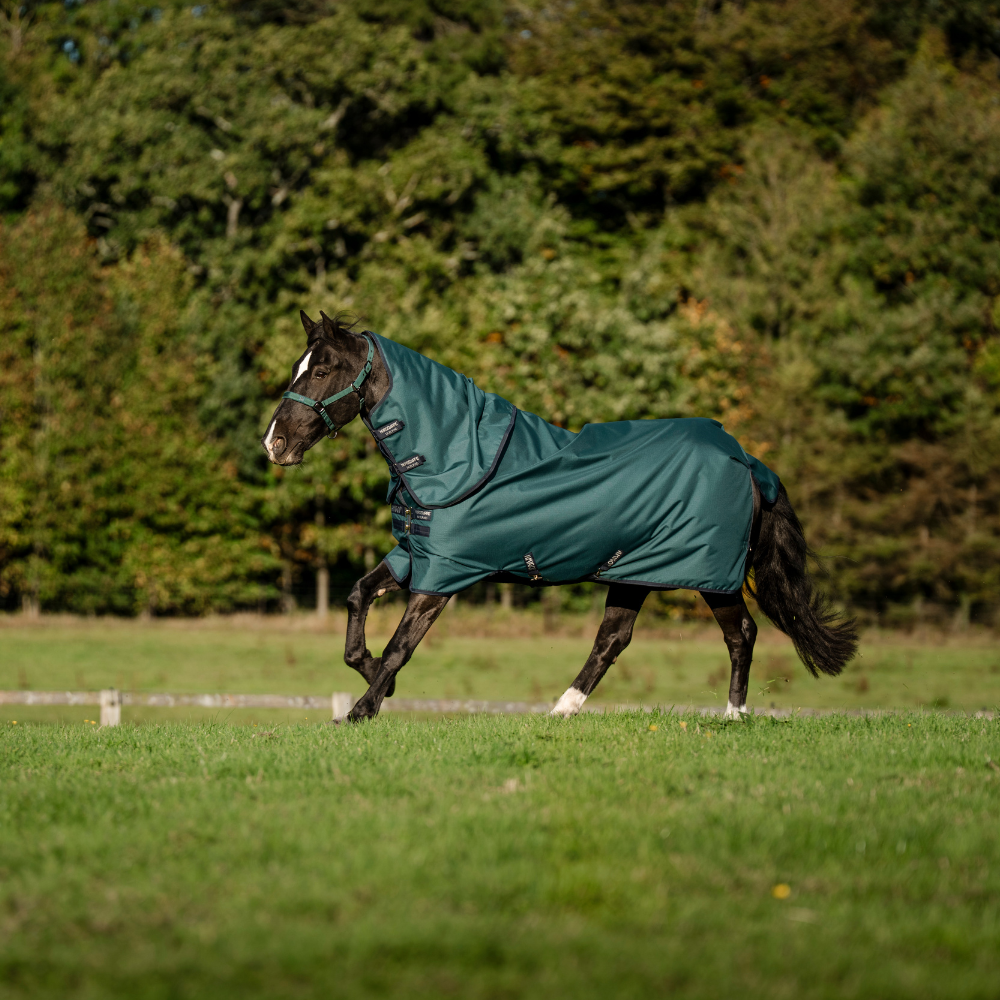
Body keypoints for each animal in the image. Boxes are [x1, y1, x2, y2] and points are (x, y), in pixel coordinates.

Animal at [262, 311, 858, 722]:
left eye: (322, 369)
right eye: (299, 368)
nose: (275, 443)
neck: (454, 455)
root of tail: (747, 460)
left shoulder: (443, 575)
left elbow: (399, 647)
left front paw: (362, 709)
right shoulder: (415, 555)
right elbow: (357, 599)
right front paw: (369, 679)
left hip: (710, 574)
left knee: (742, 634)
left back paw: (734, 716)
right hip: (634, 571)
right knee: (613, 639)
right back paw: (562, 710)